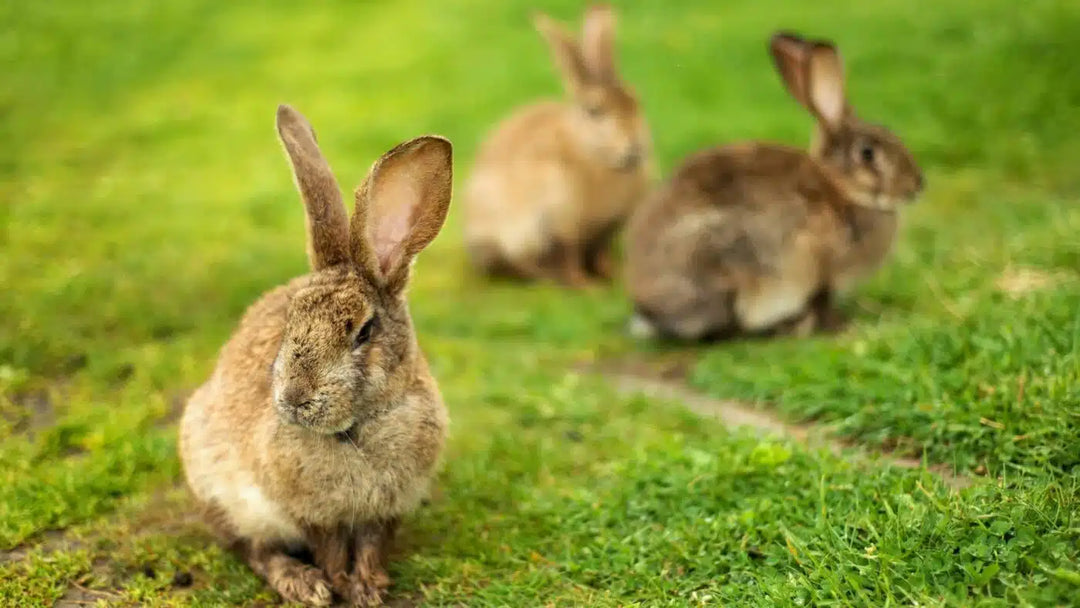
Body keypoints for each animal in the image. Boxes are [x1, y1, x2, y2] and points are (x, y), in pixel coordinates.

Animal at [179, 104, 452, 607]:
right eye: (291, 320)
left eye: (364, 331)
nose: (294, 399)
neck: (357, 429)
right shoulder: (310, 513)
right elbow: (329, 549)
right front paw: (339, 586)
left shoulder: (385, 511)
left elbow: (370, 545)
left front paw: (369, 588)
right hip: (218, 492)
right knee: (254, 550)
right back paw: (301, 583)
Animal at [463, 4, 652, 288]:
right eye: (594, 111)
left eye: (635, 101)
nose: (636, 148)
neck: (592, 154)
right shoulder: (558, 225)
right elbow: (568, 257)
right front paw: (587, 287)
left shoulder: (606, 232)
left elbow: (602, 255)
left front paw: (615, 276)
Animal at [625, 32, 924, 341]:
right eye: (867, 153)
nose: (917, 185)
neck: (842, 188)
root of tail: (647, 312)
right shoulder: (814, 265)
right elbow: (821, 300)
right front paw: (840, 326)